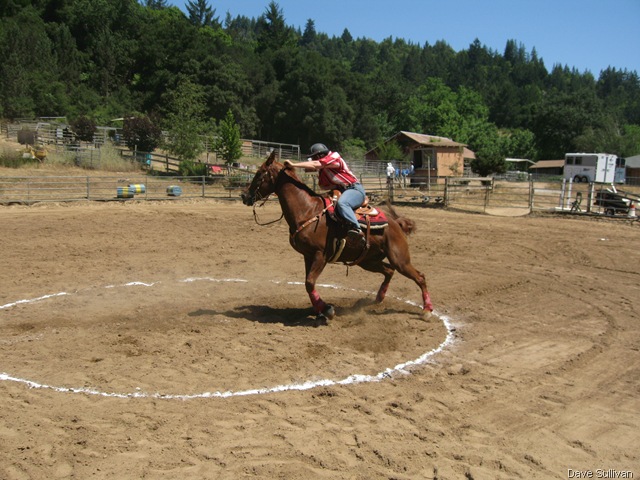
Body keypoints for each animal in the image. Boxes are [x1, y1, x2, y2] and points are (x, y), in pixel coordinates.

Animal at [241, 150, 433, 322]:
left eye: (259, 173)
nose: (244, 195)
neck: (307, 210)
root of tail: (395, 223)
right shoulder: (308, 256)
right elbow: (308, 283)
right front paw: (320, 311)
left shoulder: (320, 255)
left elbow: (309, 282)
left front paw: (327, 310)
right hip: (367, 260)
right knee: (389, 271)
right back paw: (378, 299)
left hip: (399, 258)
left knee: (420, 276)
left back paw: (427, 311)